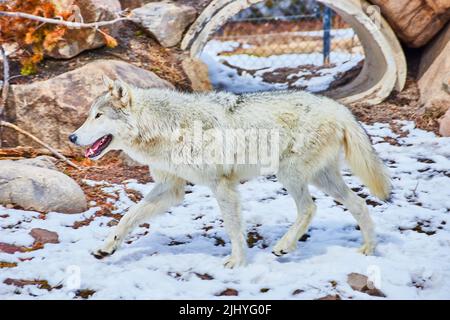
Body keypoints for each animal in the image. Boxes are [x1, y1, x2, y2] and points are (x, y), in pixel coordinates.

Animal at [69, 76, 390, 268]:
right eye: (89, 115)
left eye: (98, 116)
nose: (72, 137)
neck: (165, 127)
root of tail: (341, 109)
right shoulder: (171, 189)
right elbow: (128, 218)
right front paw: (106, 248)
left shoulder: (221, 184)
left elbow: (234, 228)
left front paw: (236, 262)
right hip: (321, 178)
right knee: (358, 204)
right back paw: (369, 249)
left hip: (290, 175)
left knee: (310, 209)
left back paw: (283, 247)